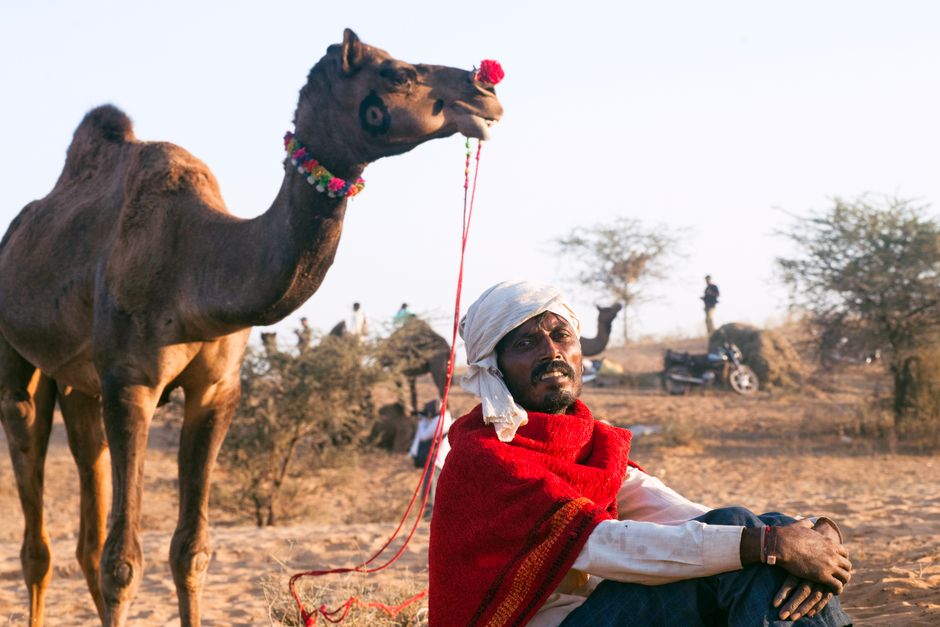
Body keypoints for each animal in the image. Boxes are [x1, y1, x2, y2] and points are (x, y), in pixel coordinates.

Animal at [0, 28, 501, 627]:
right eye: (398, 72)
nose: (486, 90)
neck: (196, 264)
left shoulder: (217, 390)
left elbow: (190, 551)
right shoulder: (130, 385)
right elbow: (121, 563)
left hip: (81, 384)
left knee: (85, 512)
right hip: (22, 362)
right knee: (36, 517)